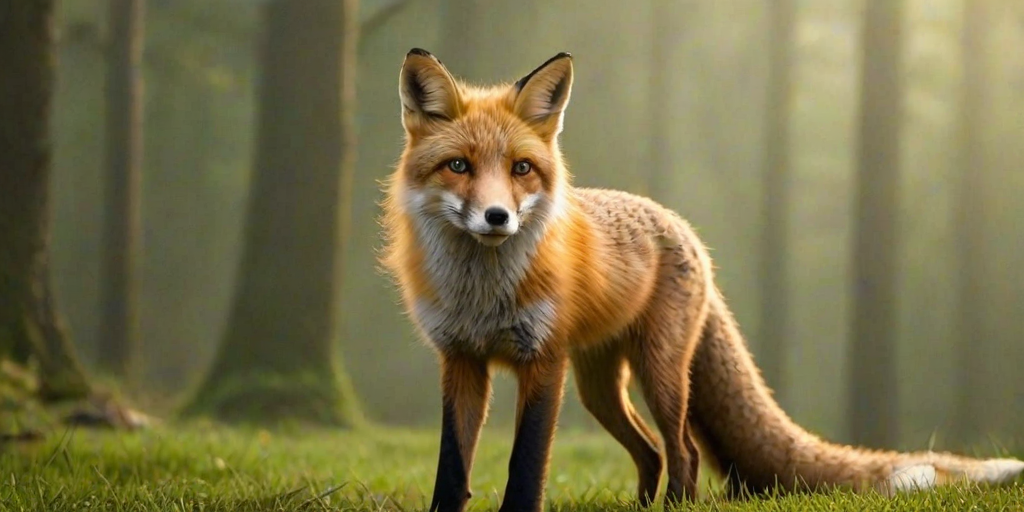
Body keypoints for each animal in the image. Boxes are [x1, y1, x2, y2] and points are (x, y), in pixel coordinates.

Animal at [378, 49, 1024, 512]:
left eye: (520, 169)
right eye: (458, 166)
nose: (498, 218)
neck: (481, 294)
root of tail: (681, 224)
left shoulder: (542, 362)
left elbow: (526, 466)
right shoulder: (462, 360)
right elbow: (452, 468)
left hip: (658, 372)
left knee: (682, 450)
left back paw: (675, 507)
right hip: (597, 386)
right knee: (651, 453)